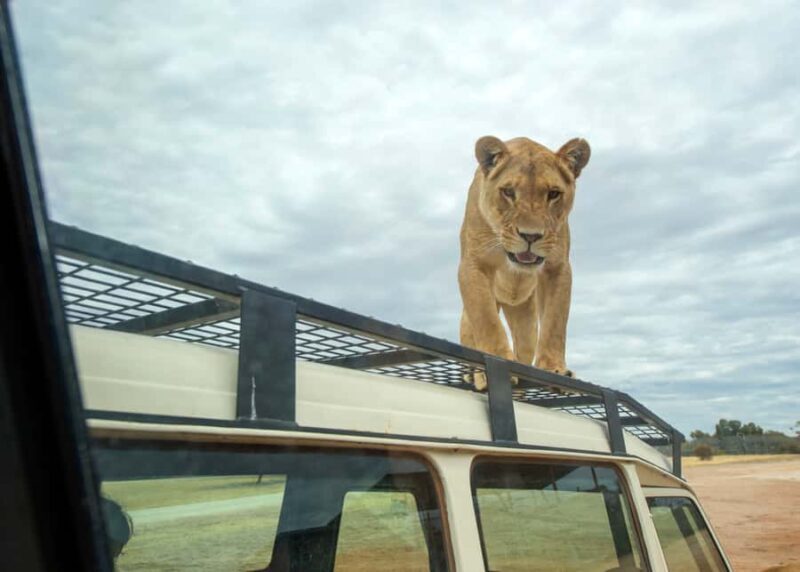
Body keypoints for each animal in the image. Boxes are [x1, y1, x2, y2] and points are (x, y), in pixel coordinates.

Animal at [458, 135, 590, 390]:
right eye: (508, 192)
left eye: (553, 194)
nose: (531, 236)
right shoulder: (473, 264)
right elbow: (487, 321)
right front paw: (495, 364)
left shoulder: (558, 268)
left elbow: (555, 322)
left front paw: (554, 369)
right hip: (469, 320)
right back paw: (473, 374)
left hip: (526, 321)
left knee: (525, 348)